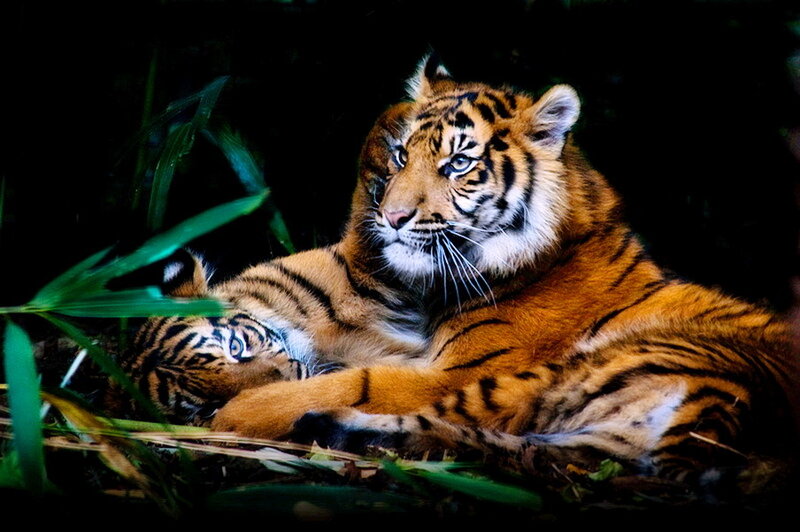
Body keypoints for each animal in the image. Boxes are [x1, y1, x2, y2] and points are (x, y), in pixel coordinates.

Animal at [201, 55, 800, 485]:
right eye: (401, 156)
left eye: (458, 163)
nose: (391, 217)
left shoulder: (457, 369)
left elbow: (357, 381)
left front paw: (239, 411)